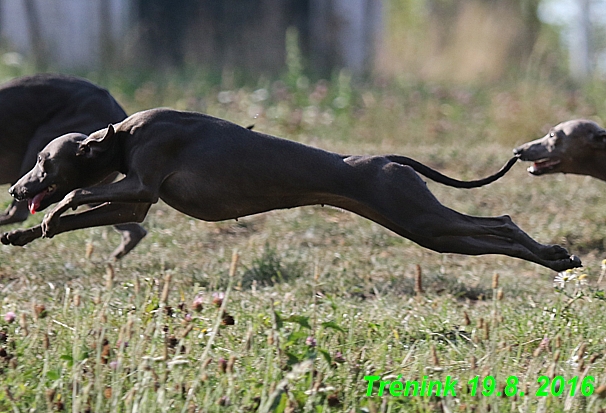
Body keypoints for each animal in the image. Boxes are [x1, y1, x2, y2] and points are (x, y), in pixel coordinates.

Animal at [1, 108, 584, 272]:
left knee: (500, 223)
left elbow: (76, 198)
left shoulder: (140, 181)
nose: (15, 191)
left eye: (43, 162)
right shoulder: (138, 199)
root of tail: (387, 160)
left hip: (420, 217)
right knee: (491, 232)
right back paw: (557, 258)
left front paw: (47, 215)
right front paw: (22, 236)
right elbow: (80, 215)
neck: (121, 137)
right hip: (425, 227)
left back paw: (557, 256)